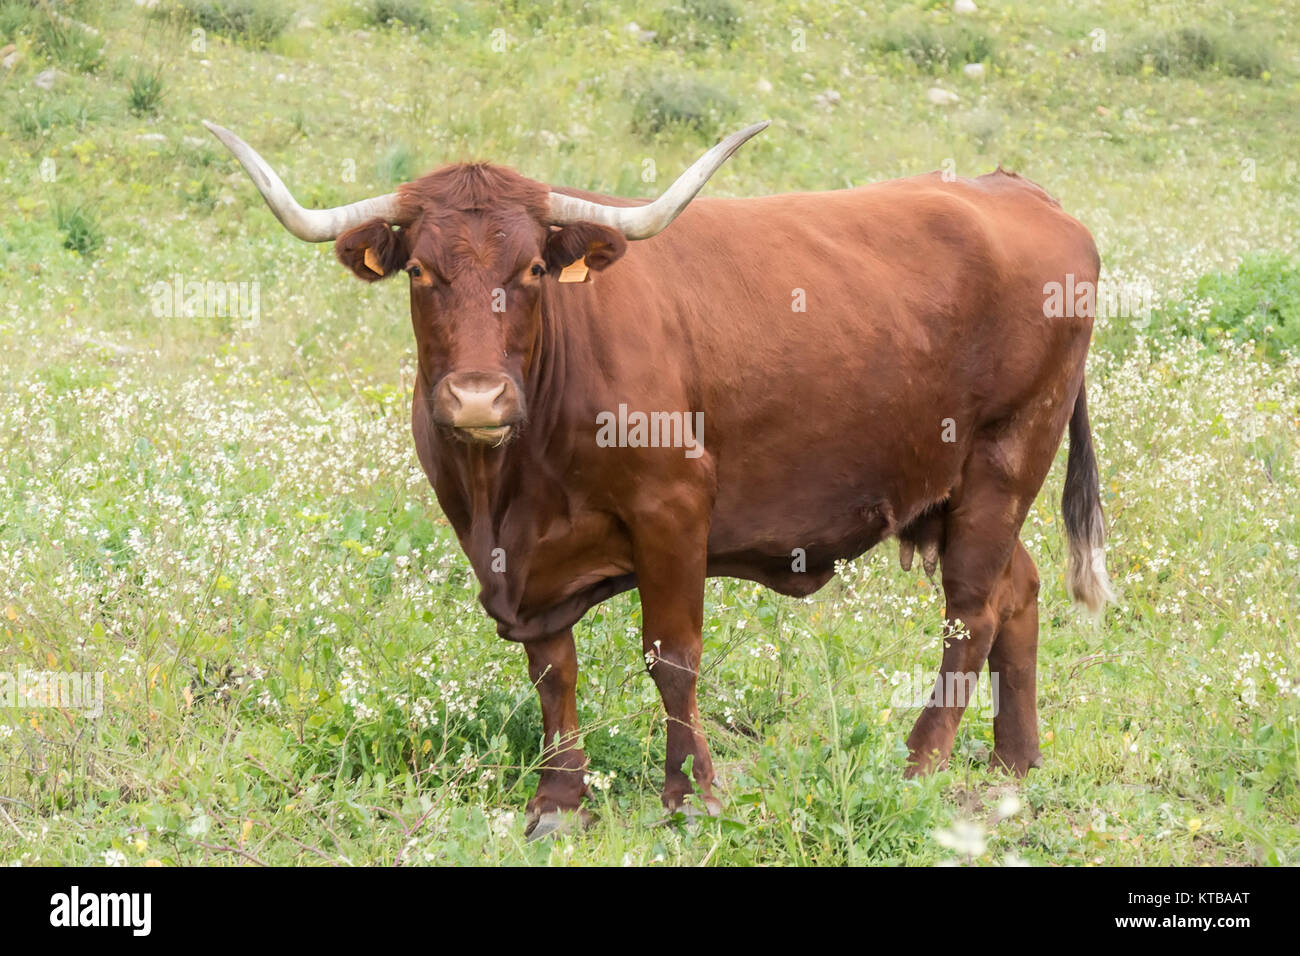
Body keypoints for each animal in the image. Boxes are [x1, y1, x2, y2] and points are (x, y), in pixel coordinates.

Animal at [205, 117, 1118, 837]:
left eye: (531, 271)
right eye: (421, 272)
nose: (475, 398)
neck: (510, 487)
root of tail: (1020, 192)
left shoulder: (673, 509)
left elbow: (671, 657)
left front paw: (692, 798)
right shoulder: (507, 556)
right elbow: (553, 670)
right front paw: (558, 802)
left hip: (1007, 456)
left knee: (971, 610)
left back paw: (921, 764)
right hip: (952, 490)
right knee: (1016, 590)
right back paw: (1013, 763)